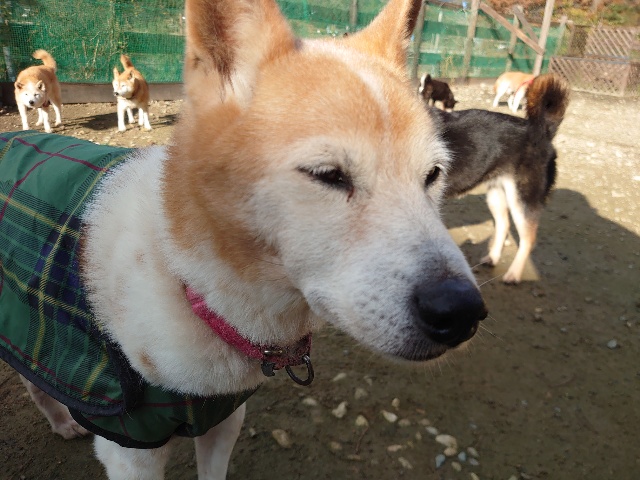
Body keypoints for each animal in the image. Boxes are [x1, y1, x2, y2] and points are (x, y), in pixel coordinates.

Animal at [0, 0, 488, 478]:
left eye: (433, 175)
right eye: (328, 175)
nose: (463, 313)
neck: (190, 284)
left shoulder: (225, 420)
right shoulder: (131, 450)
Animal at [430, 73, 570, 284]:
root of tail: (543, 131)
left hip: (521, 199)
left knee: (528, 239)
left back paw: (514, 273)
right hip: (496, 193)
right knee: (503, 225)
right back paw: (493, 258)